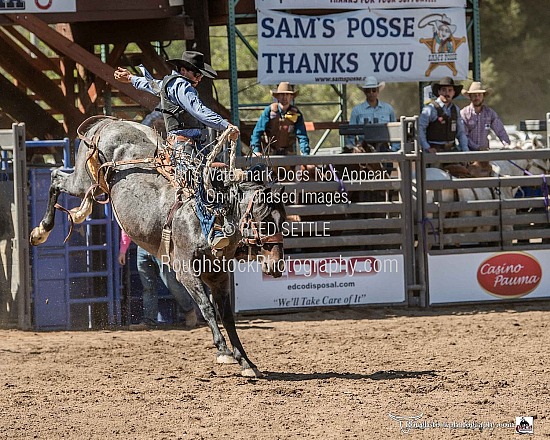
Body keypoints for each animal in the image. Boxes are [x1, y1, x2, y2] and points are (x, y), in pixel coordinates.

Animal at [29, 117, 288, 378]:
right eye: (264, 222)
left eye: (284, 222)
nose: (276, 266)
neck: (210, 216)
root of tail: (108, 122)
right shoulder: (185, 271)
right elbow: (207, 308)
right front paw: (224, 351)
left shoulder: (219, 276)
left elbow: (226, 316)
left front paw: (246, 362)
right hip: (82, 178)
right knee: (55, 178)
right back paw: (40, 231)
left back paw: (75, 215)